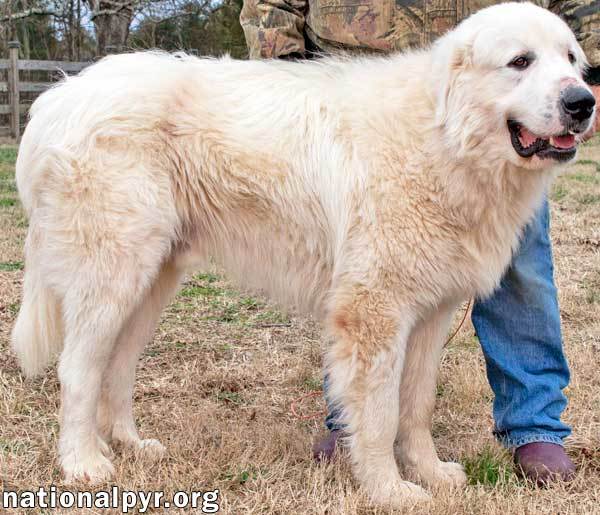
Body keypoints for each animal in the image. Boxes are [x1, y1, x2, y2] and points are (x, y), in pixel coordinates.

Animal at [9, 1, 596, 508]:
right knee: (78, 368)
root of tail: (59, 97)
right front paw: (389, 491)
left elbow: (416, 407)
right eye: (520, 62)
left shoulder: (430, 316)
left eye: (571, 60)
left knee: (116, 367)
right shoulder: (374, 314)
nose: (582, 102)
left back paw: (130, 445)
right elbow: (379, 416)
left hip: (151, 281)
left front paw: (429, 473)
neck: (442, 135)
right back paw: (83, 463)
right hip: (113, 274)